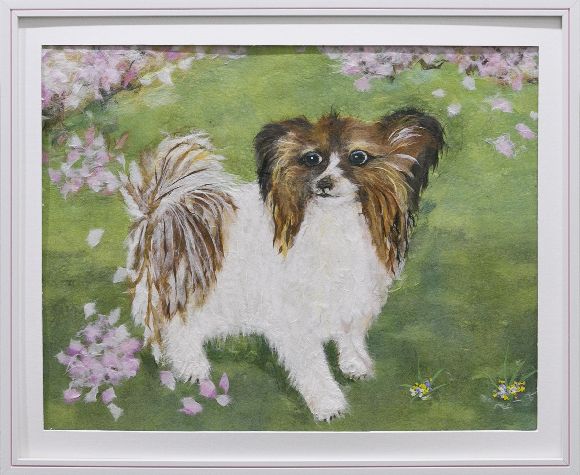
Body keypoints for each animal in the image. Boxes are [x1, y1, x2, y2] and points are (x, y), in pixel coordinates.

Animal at [120, 109, 444, 421]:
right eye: (312, 159)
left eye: (358, 157)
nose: (325, 183)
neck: (334, 221)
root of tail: (172, 206)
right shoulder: (296, 315)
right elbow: (312, 364)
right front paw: (328, 404)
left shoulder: (352, 295)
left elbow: (350, 334)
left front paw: (355, 363)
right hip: (203, 285)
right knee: (179, 324)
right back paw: (191, 366)